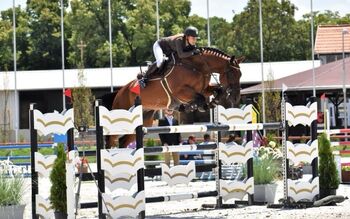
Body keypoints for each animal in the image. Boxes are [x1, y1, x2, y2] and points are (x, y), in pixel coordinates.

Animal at [103, 47, 243, 148]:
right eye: (231, 73)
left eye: (240, 74)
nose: (236, 98)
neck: (197, 67)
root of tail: (120, 92)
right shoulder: (181, 91)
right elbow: (199, 98)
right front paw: (192, 106)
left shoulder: (204, 89)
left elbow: (216, 91)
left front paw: (211, 103)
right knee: (111, 139)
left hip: (144, 119)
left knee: (123, 141)